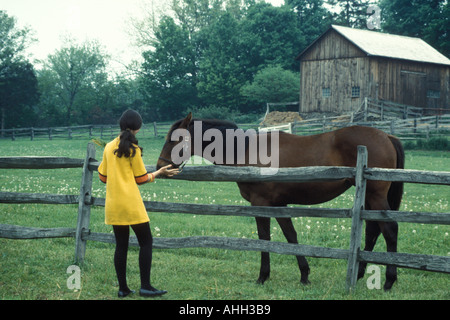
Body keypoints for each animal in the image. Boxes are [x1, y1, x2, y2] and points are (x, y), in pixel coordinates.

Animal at [157, 114, 404, 292]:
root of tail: (386, 137)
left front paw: (263, 276)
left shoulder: (261, 204)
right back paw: (361, 273)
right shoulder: (279, 205)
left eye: (174, 139)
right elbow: (291, 236)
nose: (161, 167)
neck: (246, 150)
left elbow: (264, 239)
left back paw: (389, 280)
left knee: (389, 230)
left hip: (375, 195)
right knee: (372, 230)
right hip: (369, 198)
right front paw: (304, 275)